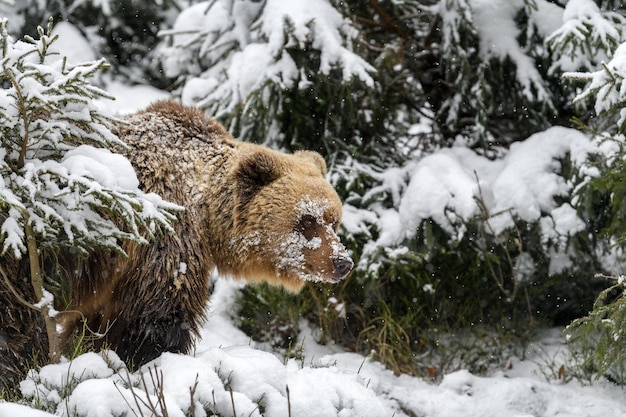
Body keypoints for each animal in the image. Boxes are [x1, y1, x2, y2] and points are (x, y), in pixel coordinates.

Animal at [0, 99, 352, 388]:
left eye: (334, 220)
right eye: (306, 220)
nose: (342, 262)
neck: (206, 212)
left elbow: (95, 322)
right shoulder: (163, 234)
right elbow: (157, 316)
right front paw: (153, 362)